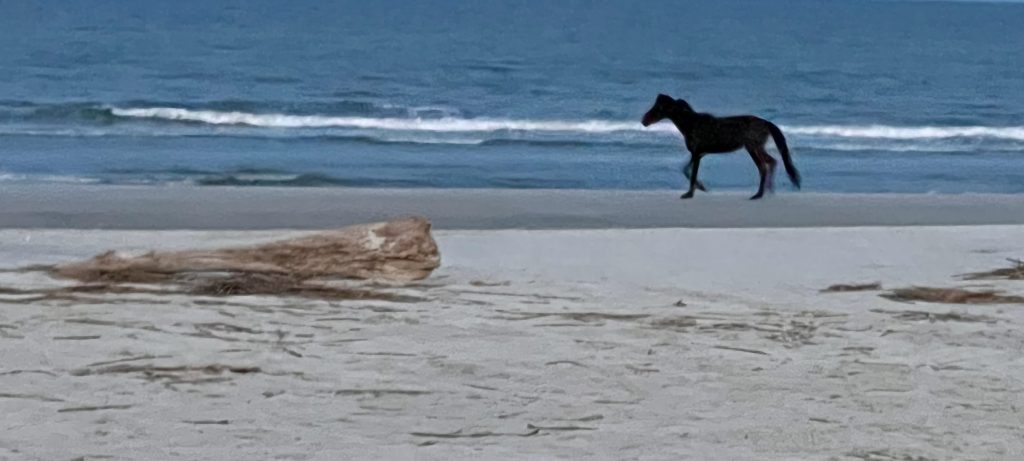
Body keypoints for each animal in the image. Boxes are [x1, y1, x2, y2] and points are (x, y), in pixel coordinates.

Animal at [638, 94, 798, 199]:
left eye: (659, 108)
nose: (644, 121)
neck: (691, 124)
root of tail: (766, 123)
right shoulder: (699, 154)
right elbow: (686, 170)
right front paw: (701, 188)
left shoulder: (697, 153)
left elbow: (691, 173)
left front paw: (690, 193)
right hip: (757, 148)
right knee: (772, 161)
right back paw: (769, 191)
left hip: (753, 148)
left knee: (763, 167)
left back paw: (758, 195)